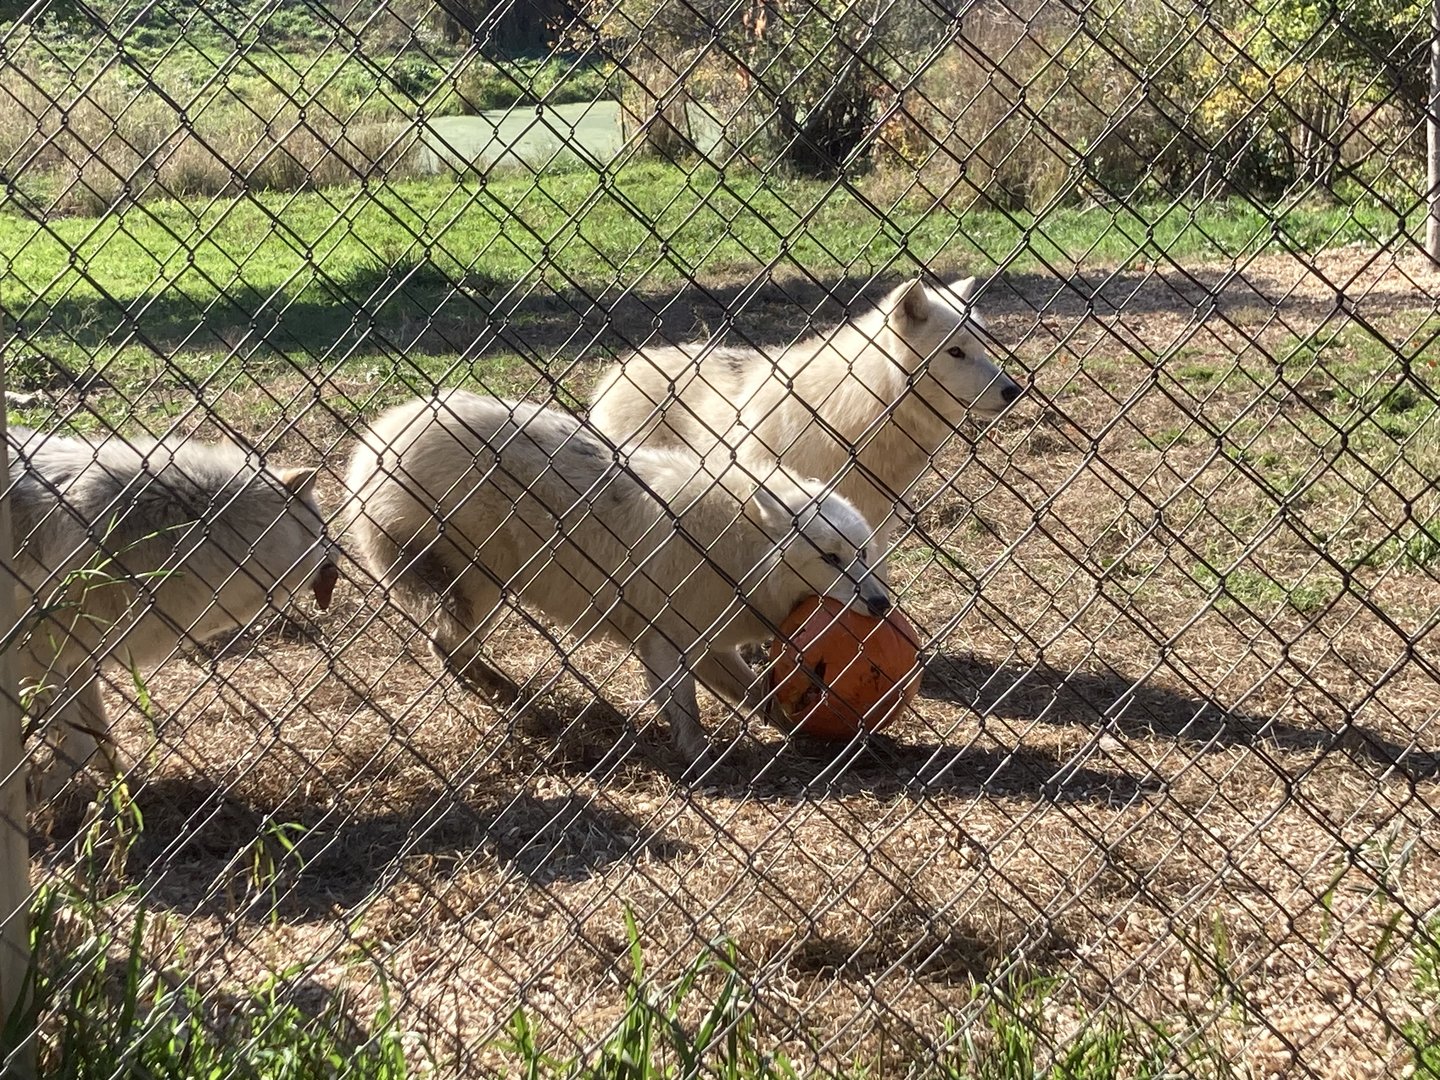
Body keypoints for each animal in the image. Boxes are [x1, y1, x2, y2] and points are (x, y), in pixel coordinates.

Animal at [8, 426, 340, 797]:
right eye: (322, 527)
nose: (338, 558)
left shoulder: (79, 659)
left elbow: (100, 741)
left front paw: (124, 791)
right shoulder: (37, 657)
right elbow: (79, 745)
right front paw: (36, 795)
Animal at [344, 390, 889, 766]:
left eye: (864, 554)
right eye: (831, 558)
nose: (882, 604)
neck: (737, 547)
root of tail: (375, 444)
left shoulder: (710, 646)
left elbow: (762, 697)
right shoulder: (667, 643)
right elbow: (687, 708)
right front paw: (699, 757)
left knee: (446, 648)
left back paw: (510, 695)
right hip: (481, 587)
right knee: (445, 646)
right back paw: (513, 701)